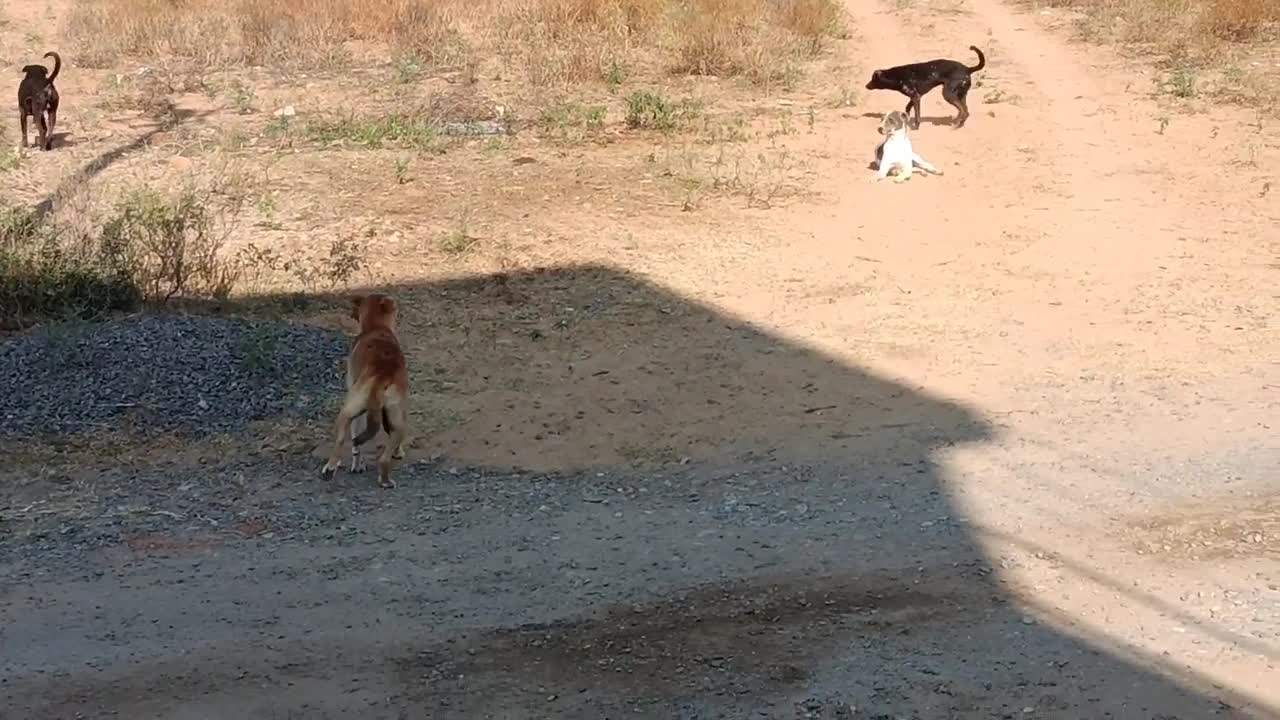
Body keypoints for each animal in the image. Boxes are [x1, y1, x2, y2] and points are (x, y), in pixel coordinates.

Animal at [322, 292, 407, 486]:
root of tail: (382, 376)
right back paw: (385, 480)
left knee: (342, 441)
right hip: (397, 417)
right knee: (384, 457)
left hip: (348, 410)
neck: (377, 327)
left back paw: (330, 468)